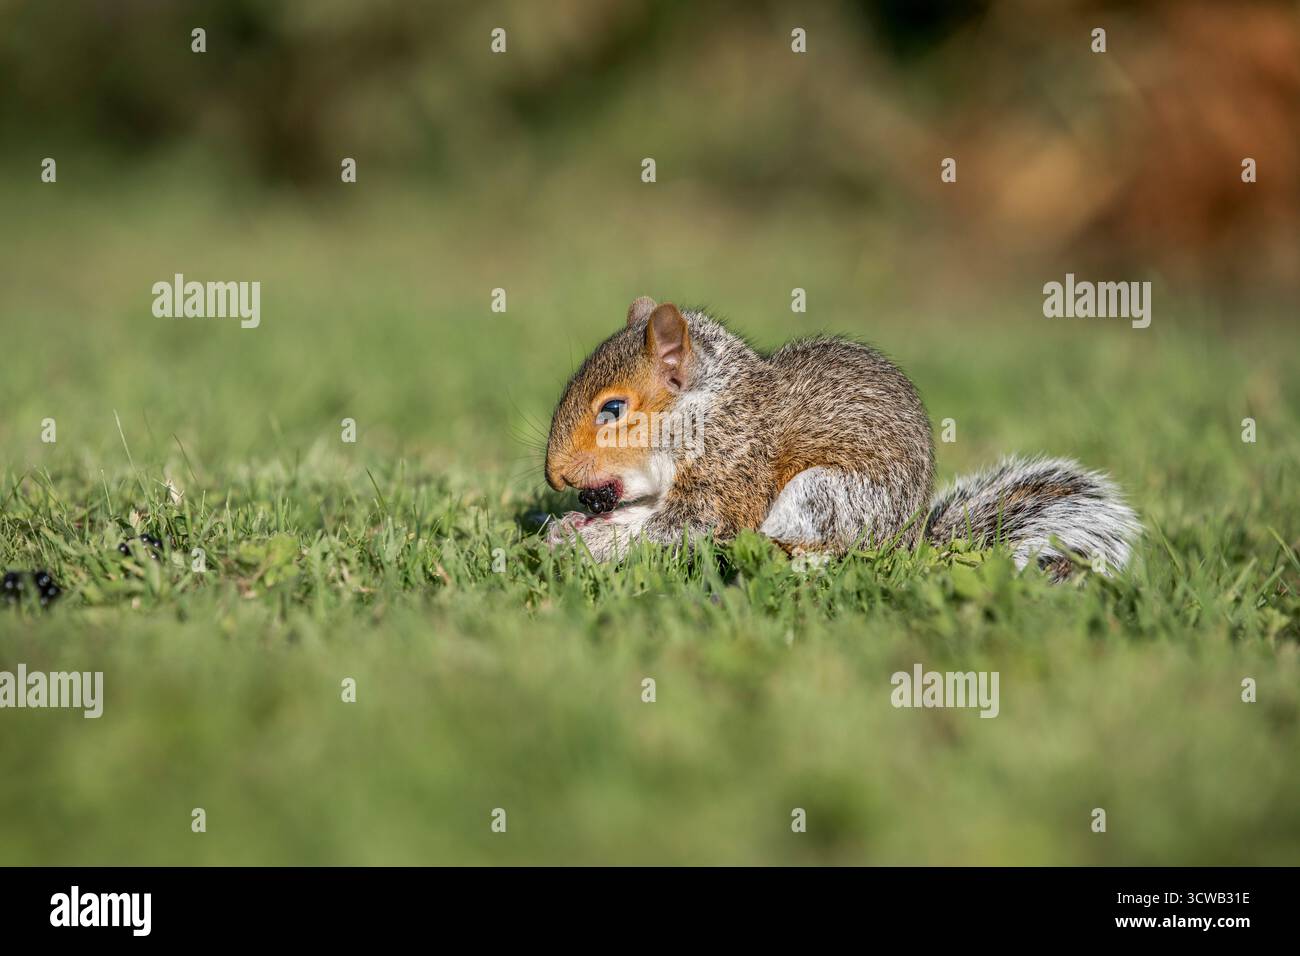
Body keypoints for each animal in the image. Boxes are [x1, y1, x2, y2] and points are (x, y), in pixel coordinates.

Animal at [544, 297, 1140, 579]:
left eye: (613, 409)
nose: (554, 476)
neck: (704, 406)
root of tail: (906, 546)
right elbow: (647, 514)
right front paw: (574, 526)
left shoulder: (732, 470)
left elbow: (683, 525)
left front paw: (594, 542)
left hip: (827, 495)